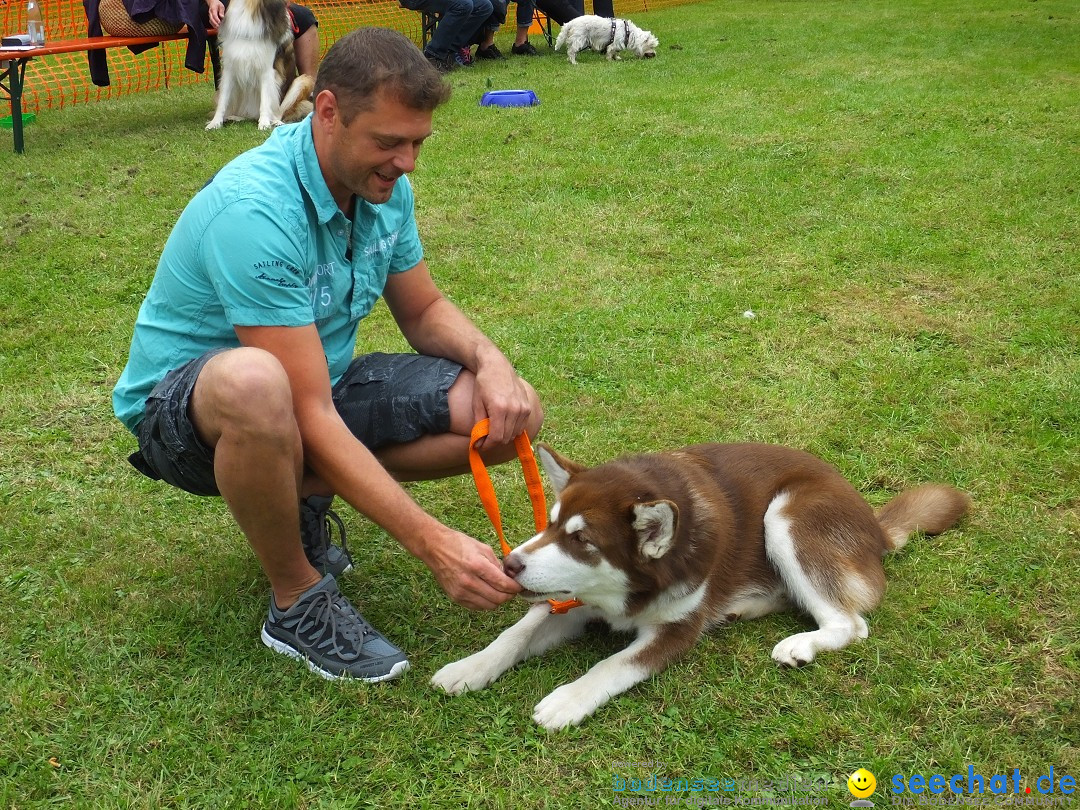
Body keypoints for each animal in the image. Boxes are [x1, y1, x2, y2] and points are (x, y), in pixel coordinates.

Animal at [204, 0, 313, 131]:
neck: (248, 8)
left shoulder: (267, 70)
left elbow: (265, 100)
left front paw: (264, 123)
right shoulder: (230, 68)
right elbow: (223, 100)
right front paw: (215, 122)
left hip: (304, 80)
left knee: (280, 112)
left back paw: (275, 121)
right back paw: (234, 117)